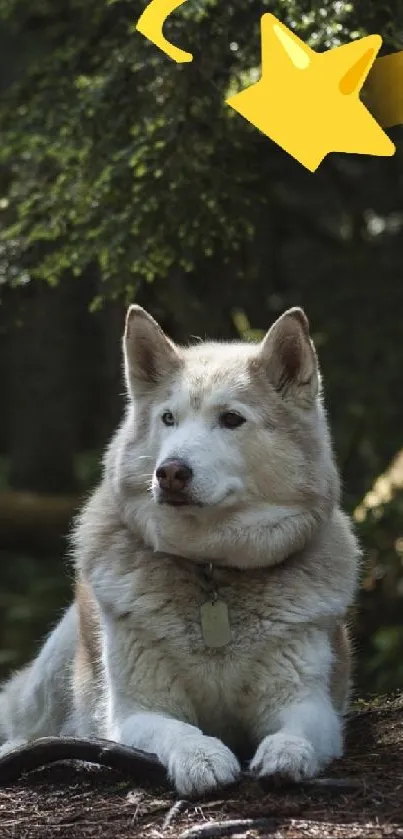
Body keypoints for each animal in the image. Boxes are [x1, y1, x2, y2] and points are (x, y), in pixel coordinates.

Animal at [0, 306, 360, 796]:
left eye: (231, 419)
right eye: (168, 418)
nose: (170, 472)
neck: (211, 569)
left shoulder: (308, 702)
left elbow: (296, 732)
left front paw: (287, 754)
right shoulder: (137, 712)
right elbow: (178, 731)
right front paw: (201, 758)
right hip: (54, 671)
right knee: (26, 723)